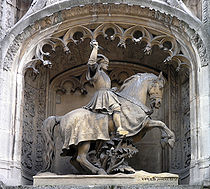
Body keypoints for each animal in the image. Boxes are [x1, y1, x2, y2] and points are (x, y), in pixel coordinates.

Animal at [41, 72, 175, 174]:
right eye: (160, 87)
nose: (158, 103)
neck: (132, 101)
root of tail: (61, 117)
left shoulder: (142, 126)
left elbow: (160, 124)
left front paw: (165, 139)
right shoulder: (142, 123)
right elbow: (161, 123)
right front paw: (170, 139)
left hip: (78, 144)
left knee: (74, 159)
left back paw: (88, 172)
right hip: (84, 140)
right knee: (81, 158)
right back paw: (98, 171)